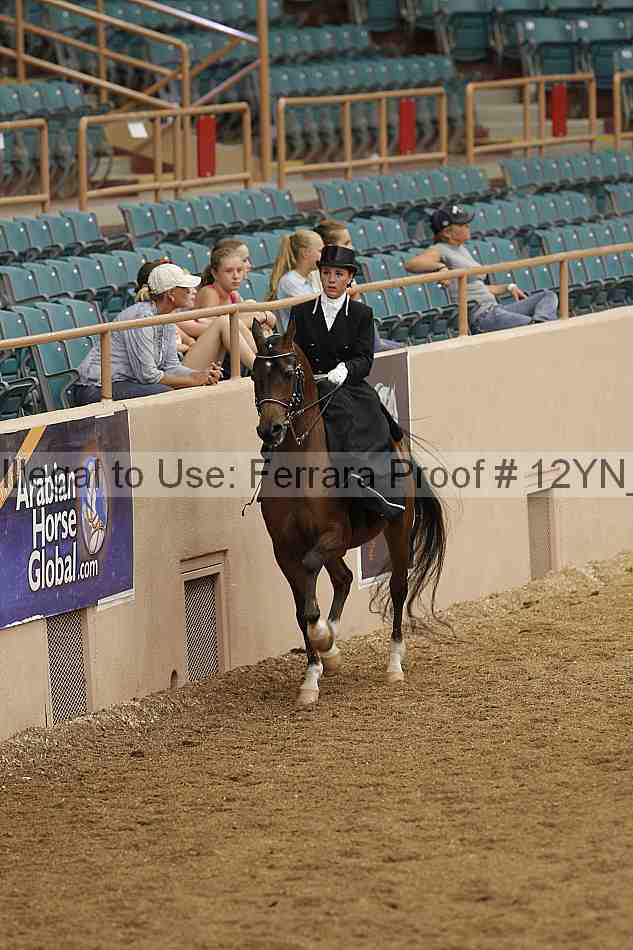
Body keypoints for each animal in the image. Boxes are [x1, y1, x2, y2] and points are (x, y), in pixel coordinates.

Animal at [250, 320, 447, 706]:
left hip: (397, 527)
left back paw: (393, 663)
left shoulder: (333, 536)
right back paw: (331, 649)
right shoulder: (284, 550)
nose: (270, 429)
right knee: (343, 578)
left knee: (397, 586)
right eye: (254, 375)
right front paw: (314, 672)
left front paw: (323, 639)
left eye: (288, 372)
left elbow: (310, 585)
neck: (300, 471)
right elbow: (301, 608)